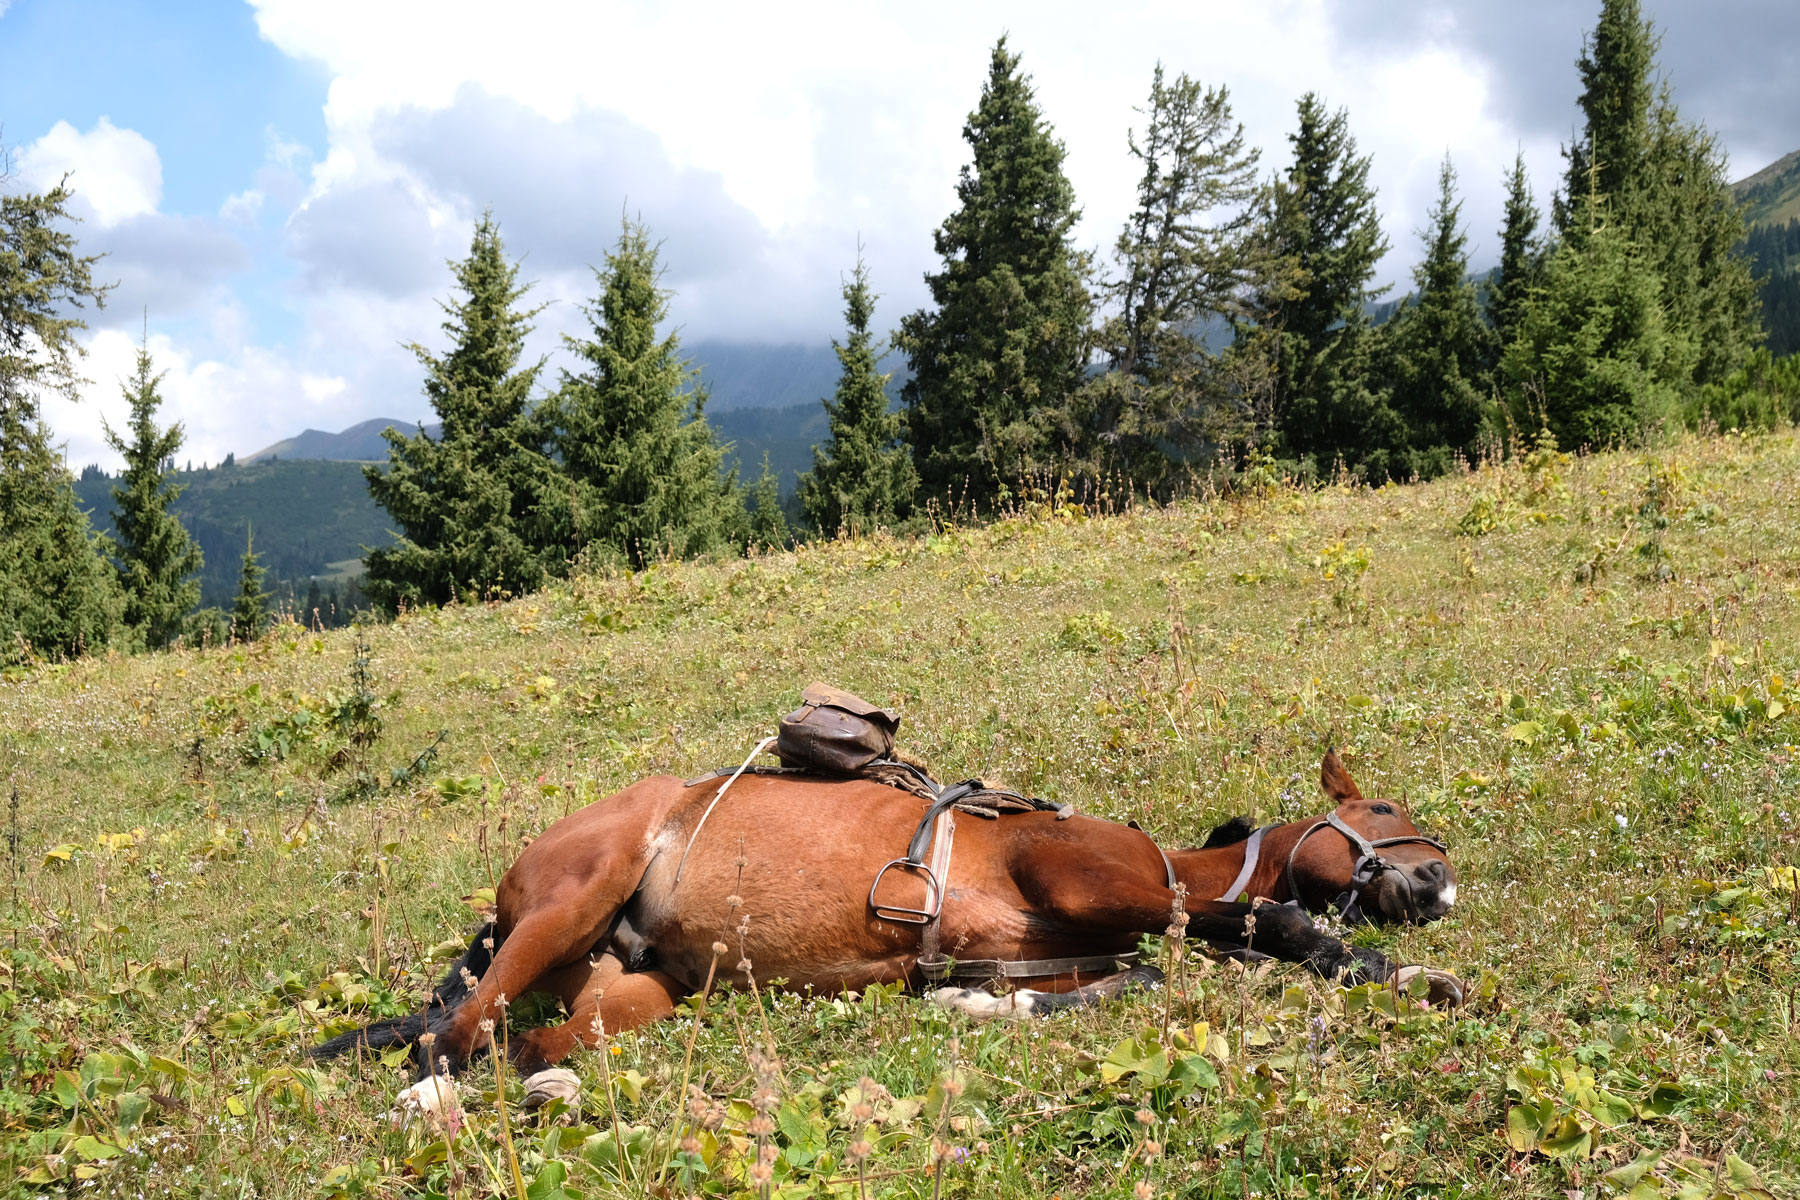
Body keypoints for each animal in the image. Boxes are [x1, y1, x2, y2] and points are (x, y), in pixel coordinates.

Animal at [316, 752, 1454, 1115]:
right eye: (1384, 810)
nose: (1438, 879)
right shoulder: (1087, 881)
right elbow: (1257, 916)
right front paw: (1380, 965)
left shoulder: (1068, 946)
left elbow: (1125, 983)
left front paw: (978, 1003)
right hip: (571, 899)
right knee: (451, 1037)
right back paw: (433, 1099)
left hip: (630, 989)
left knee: (530, 1045)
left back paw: (547, 1085)